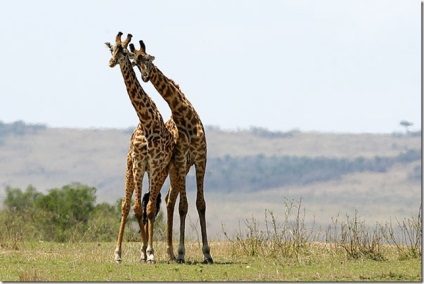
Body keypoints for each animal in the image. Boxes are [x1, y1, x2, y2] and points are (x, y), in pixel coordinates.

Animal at [105, 32, 176, 262]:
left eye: (123, 51)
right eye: (112, 49)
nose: (111, 62)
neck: (145, 120)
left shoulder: (154, 164)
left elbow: (150, 208)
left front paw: (150, 251)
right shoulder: (138, 163)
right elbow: (135, 207)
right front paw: (139, 251)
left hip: (159, 172)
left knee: (152, 205)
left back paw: (150, 250)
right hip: (131, 169)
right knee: (129, 205)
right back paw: (123, 252)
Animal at [131, 40, 214, 264]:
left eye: (147, 58)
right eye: (136, 63)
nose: (145, 76)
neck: (184, 115)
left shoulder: (201, 160)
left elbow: (201, 204)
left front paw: (207, 253)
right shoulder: (182, 160)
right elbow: (184, 206)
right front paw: (183, 251)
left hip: (176, 170)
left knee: (169, 200)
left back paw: (170, 252)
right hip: (171, 169)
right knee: (167, 201)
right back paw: (168, 252)